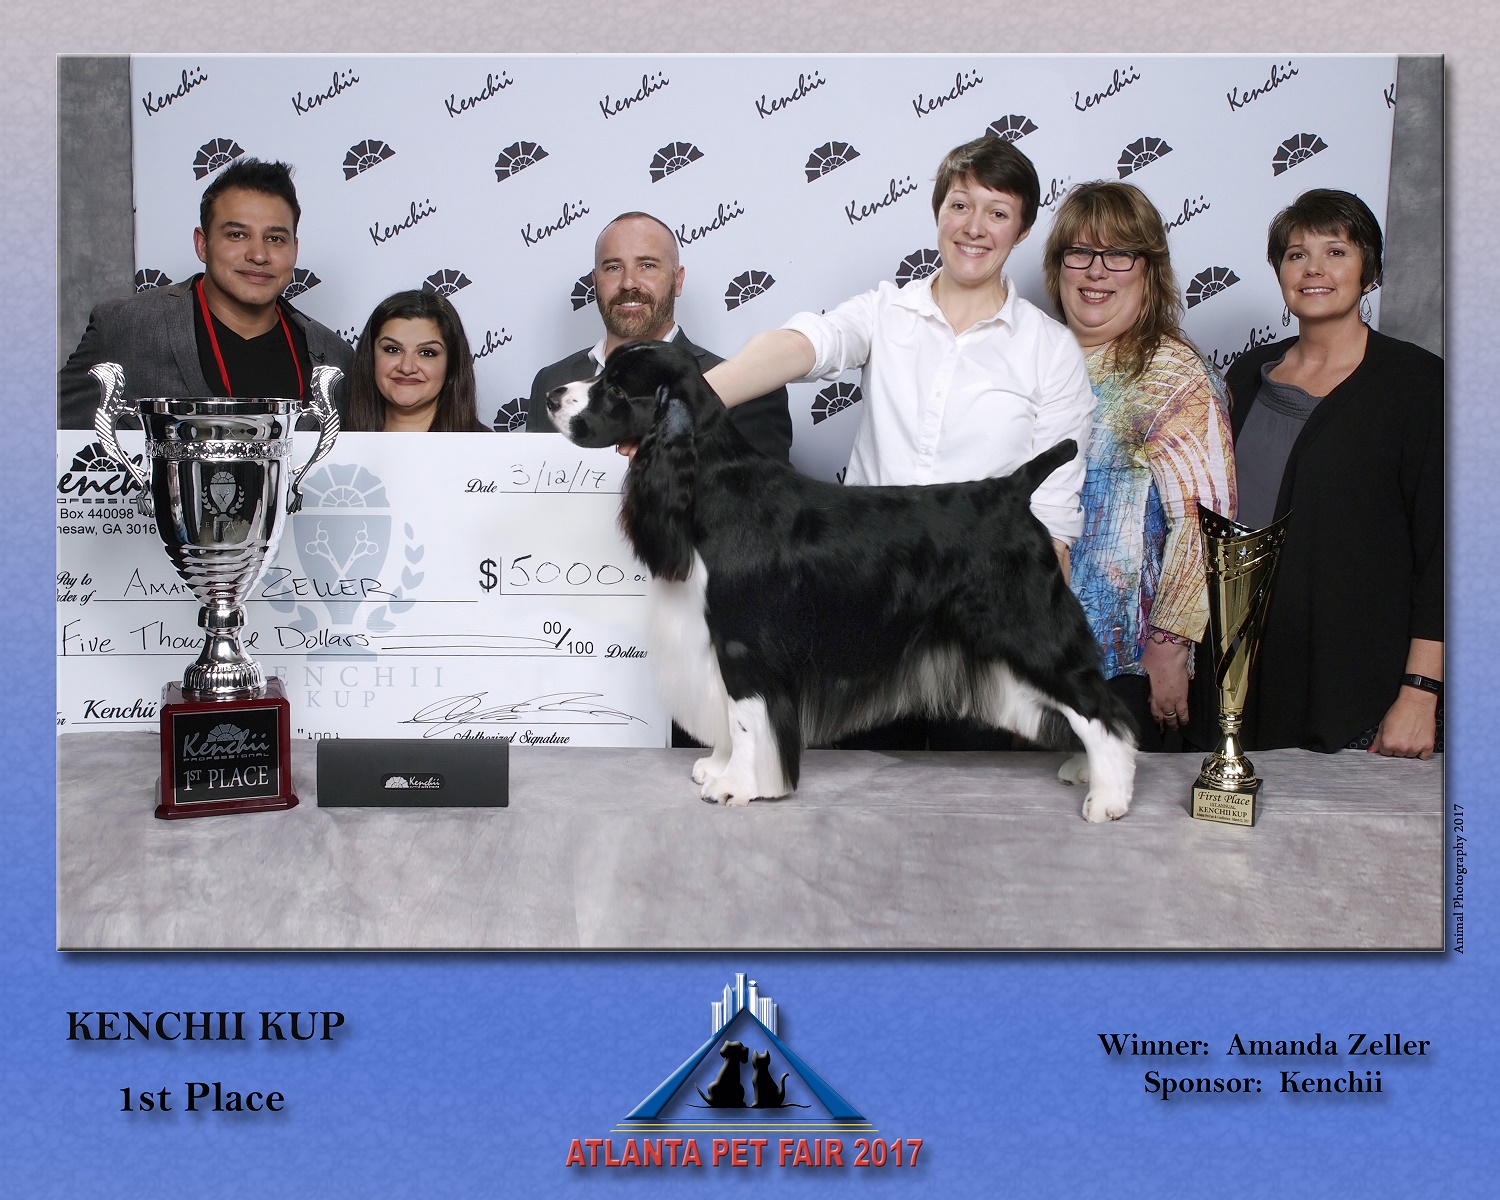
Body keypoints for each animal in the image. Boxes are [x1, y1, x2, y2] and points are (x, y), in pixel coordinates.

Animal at [547, 339, 1136, 822]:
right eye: (601, 374)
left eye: (616, 388)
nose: (553, 397)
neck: (707, 485)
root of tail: (1014, 490)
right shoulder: (714, 642)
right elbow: (726, 713)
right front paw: (717, 767)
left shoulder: (742, 640)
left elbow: (744, 717)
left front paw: (735, 786)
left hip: (1029, 629)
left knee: (1101, 708)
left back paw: (1107, 795)